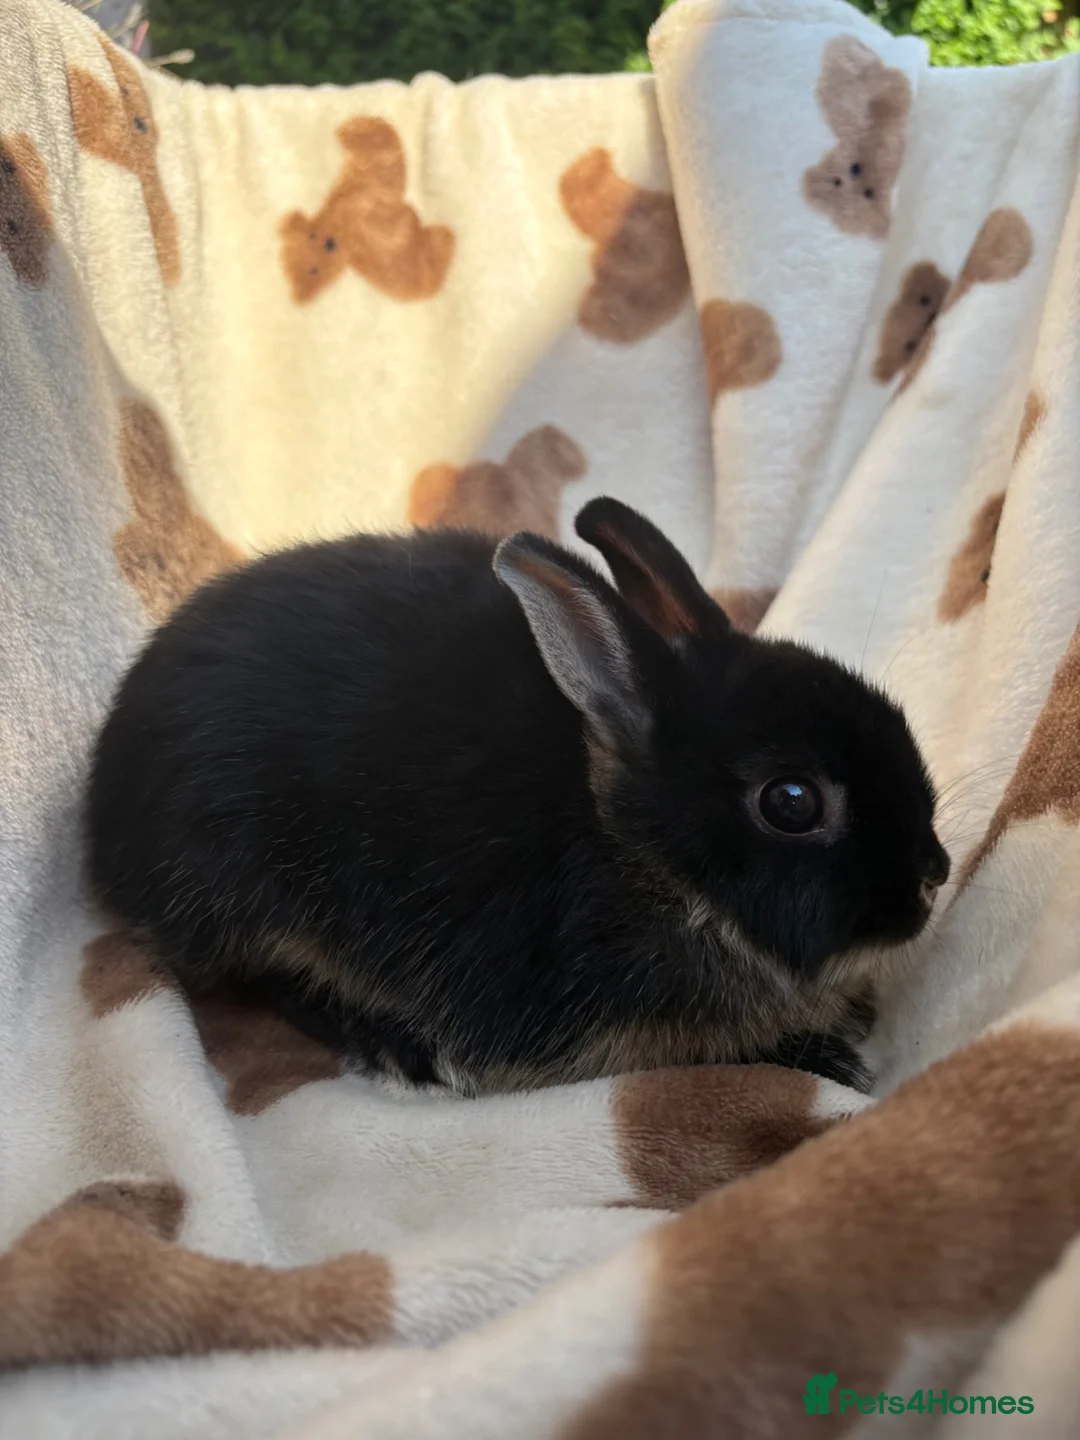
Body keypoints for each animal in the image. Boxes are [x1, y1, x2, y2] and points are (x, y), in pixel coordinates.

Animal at [86, 497, 949, 1096]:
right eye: (792, 802)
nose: (933, 873)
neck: (638, 855)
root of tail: (103, 812)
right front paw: (836, 1059)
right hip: (247, 894)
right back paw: (396, 1046)